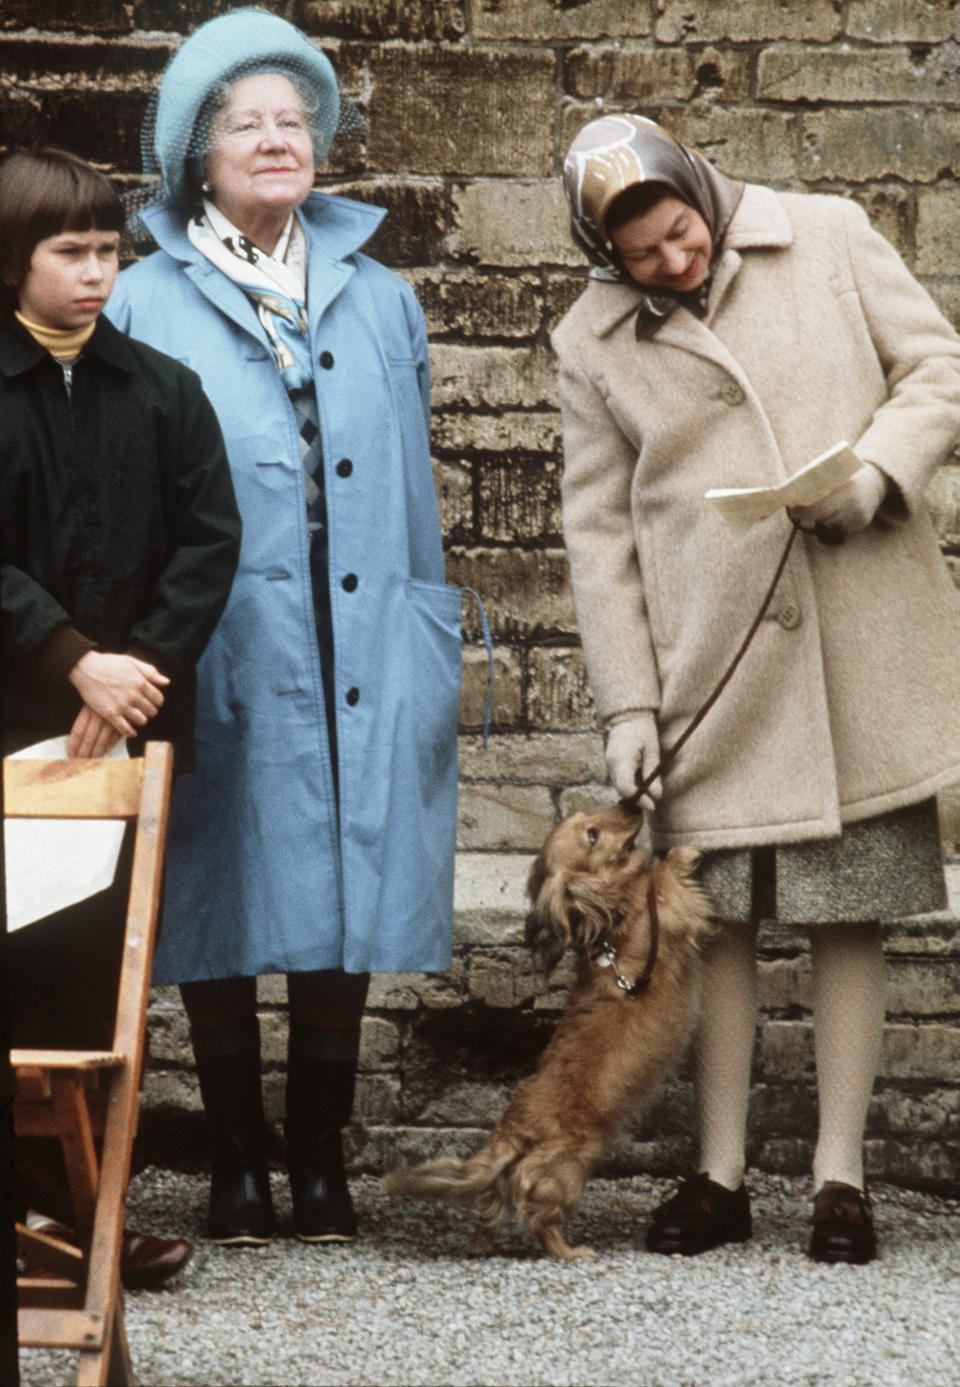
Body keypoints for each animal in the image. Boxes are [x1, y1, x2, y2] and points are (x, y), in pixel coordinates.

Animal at [380, 804, 710, 1270]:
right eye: (592, 834)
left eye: (590, 816)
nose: (631, 804)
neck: (611, 928)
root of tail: (511, 1134)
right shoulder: (667, 911)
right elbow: (663, 879)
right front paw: (683, 853)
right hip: (567, 1173)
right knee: (539, 1219)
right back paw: (571, 1251)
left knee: (488, 1205)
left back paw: (481, 1244)